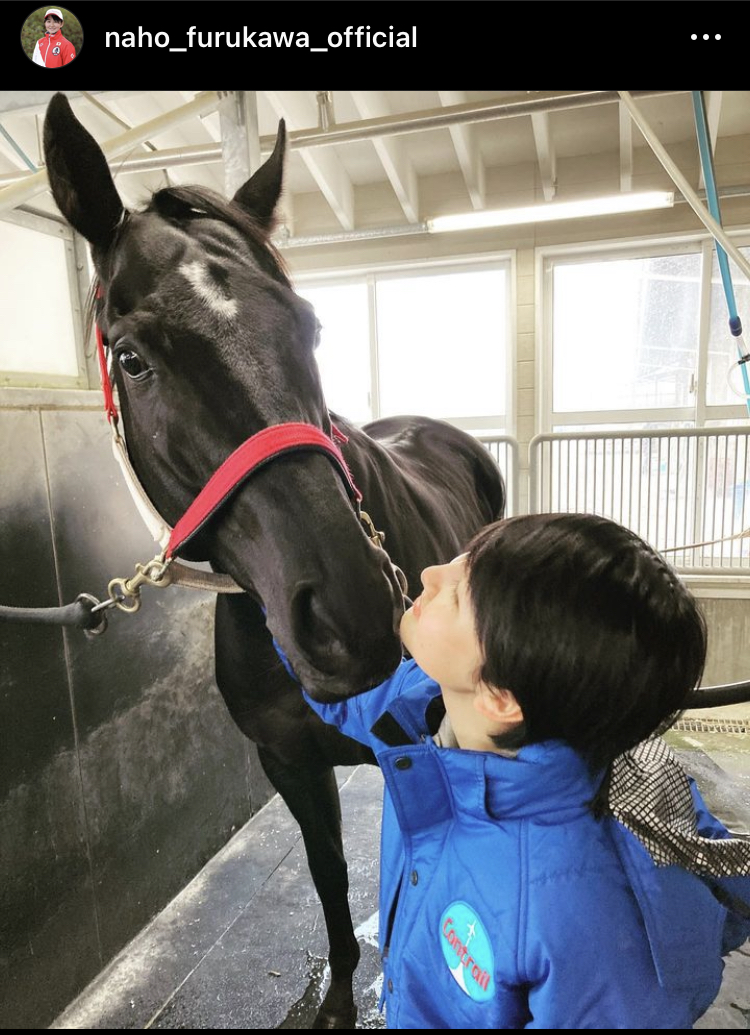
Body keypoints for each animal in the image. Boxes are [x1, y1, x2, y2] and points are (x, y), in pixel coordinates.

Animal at [43, 95, 506, 1026]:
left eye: (309, 325)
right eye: (133, 358)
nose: (354, 615)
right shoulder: (289, 763)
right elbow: (330, 877)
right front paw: (342, 992)